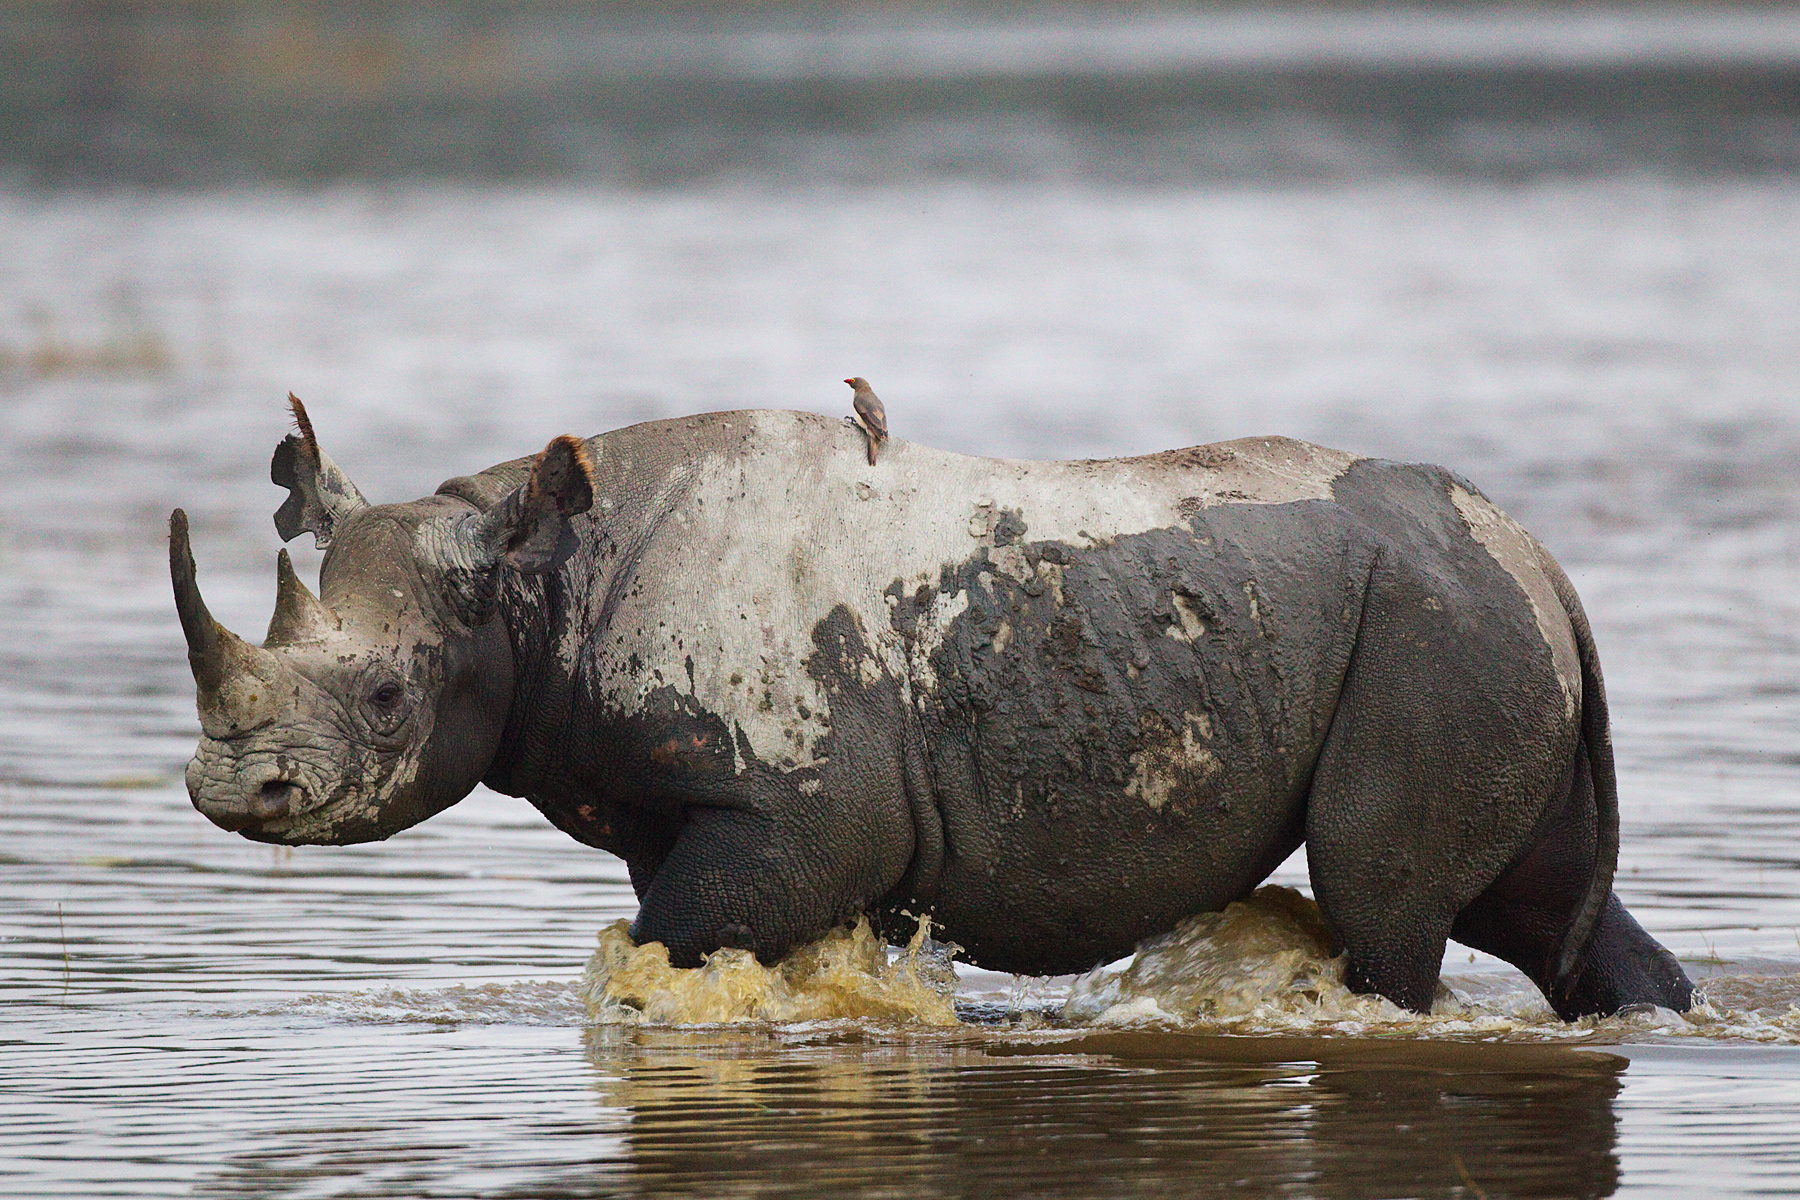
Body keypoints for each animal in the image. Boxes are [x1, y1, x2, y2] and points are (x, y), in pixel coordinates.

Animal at [172, 398, 1694, 1019]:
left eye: (385, 697)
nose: (233, 794)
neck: (542, 584)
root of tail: (1540, 557)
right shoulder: (711, 809)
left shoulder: (802, 814)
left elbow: (668, 944)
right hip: (1475, 629)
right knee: (1536, 907)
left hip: (1442, 635)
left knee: (1390, 911)